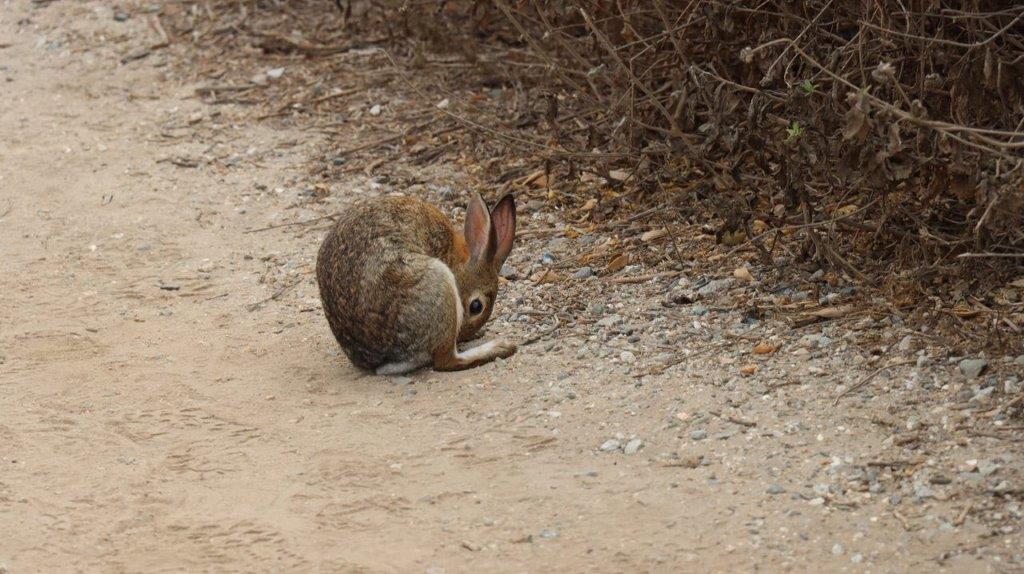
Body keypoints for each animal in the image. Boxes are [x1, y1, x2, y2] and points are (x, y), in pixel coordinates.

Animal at [313, 190, 520, 374]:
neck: (454, 257)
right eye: (476, 307)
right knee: (446, 362)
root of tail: (379, 360)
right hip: (439, 283)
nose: (462, 334)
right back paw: (500, 347)